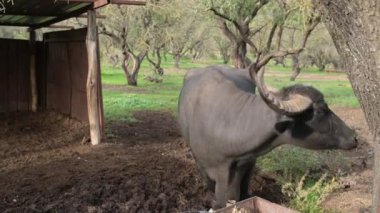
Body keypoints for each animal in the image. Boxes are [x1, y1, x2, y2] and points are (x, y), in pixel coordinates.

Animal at [177, 65, 356, 210]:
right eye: (321, 110)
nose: (354, 138)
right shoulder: (204, 165)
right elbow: (218, 199)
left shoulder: (245, 163)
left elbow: (237, 195)